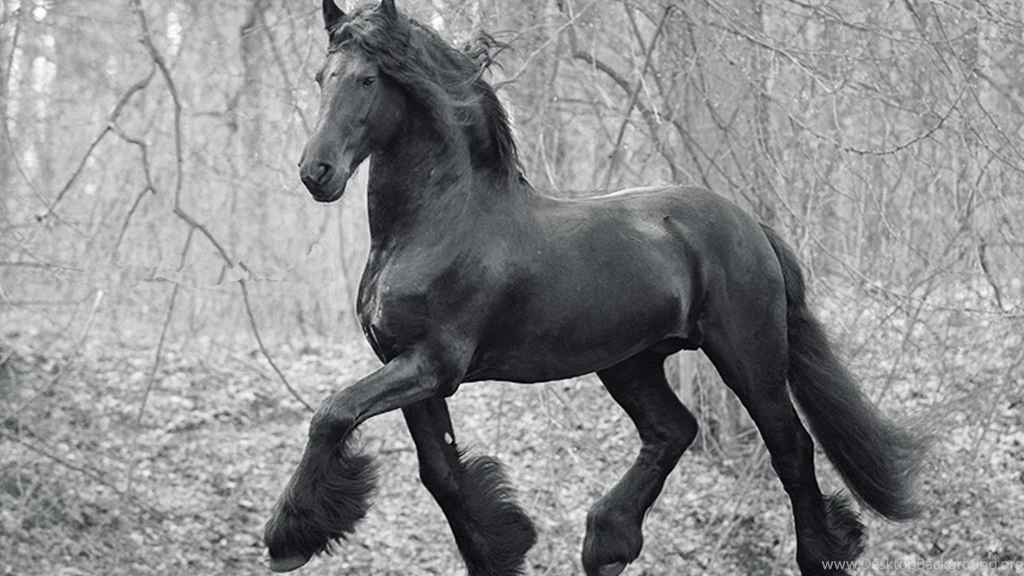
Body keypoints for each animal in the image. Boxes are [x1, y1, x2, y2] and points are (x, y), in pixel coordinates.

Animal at [263, 1, 927, 574]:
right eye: (322, 76)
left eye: (368, 79)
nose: (316, 172)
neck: (440, 224)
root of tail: (749, 225)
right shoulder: (407, 365)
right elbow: (441, 475)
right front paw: (501, 550)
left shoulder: (433, 364)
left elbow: (332, 414)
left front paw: (288, 540)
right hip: (630, 361)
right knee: (673, 431)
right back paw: (607, 543)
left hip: (749, 357)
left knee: (790, 446)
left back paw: (819, 555)